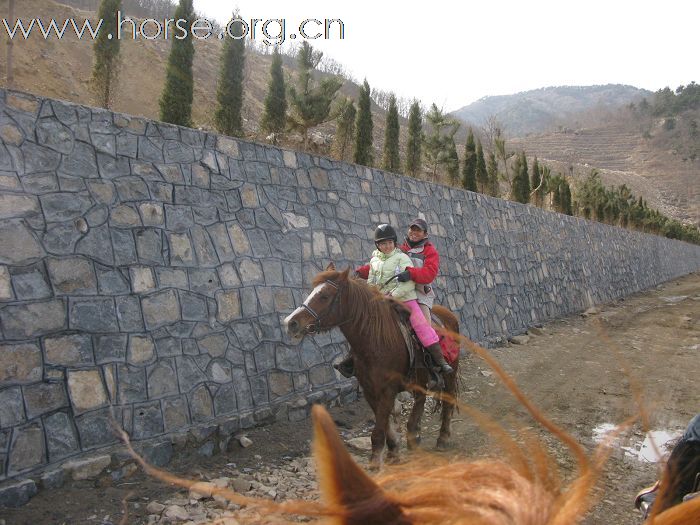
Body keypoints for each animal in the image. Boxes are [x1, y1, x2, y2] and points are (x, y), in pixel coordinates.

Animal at [282, 264, 462, 464]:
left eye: (324, 296)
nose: (291, 323)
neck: (375, 339)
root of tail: (448, 315)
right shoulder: (369, 388)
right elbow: (383, 423)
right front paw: (393, 451)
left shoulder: (388, 389)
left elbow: (378, 428)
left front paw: (376, 461)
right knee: (420, 402)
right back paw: (414, 436)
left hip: (449, 373)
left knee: (447, 401)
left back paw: (442, 438)